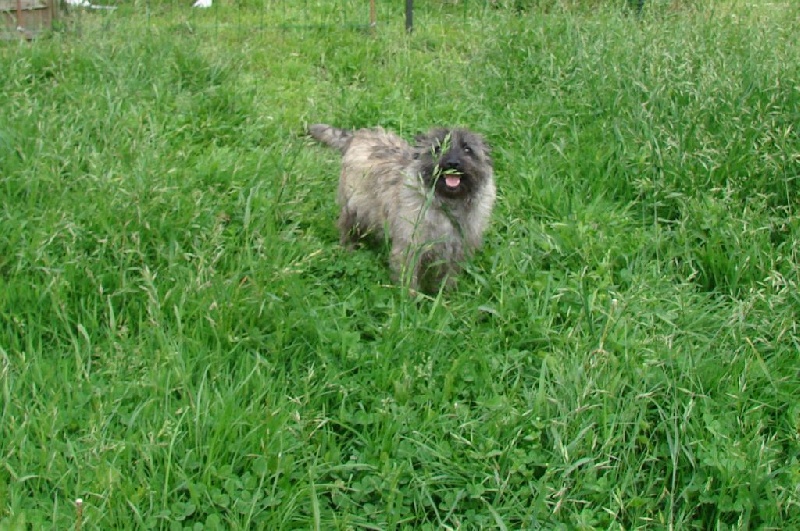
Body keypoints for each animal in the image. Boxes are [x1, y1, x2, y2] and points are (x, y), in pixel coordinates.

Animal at [310, 123, 496, 296]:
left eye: (467, 149)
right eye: (437, 148)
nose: (453, 163)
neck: (448, 204)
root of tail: (359, 135)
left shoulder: (457, 250)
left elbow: (448, 277)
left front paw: (444, 296)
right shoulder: (409, 247)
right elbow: (408, 279)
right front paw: (410, 301)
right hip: (354, 207)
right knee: (346, 227)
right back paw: (348, 248)